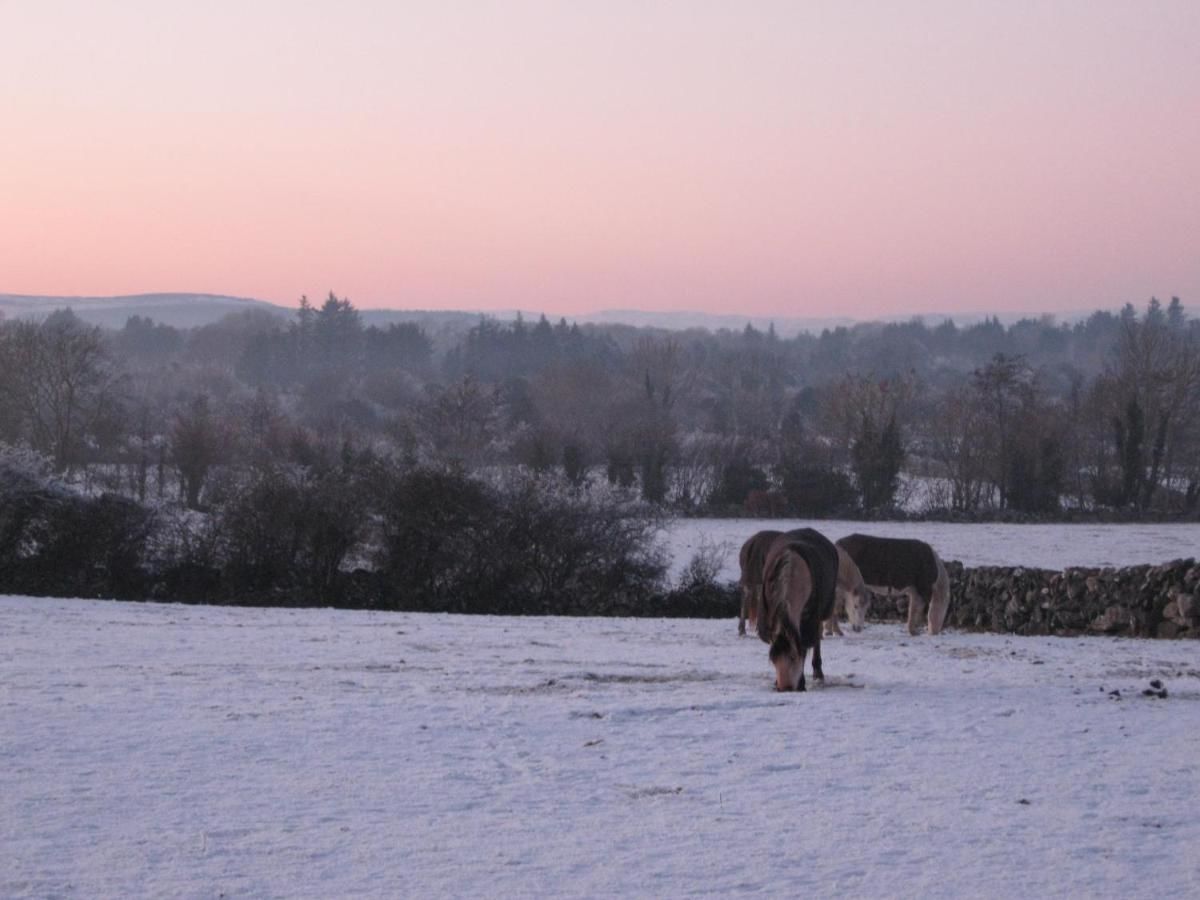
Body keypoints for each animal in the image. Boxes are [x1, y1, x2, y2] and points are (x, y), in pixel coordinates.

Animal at [753, 532, 840, 696]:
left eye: (794, 657)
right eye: (773, 659)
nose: (785, 688)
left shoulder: (809, 618)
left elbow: (805, 647)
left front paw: (801, 683)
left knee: (817, 637)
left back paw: (818, 672)